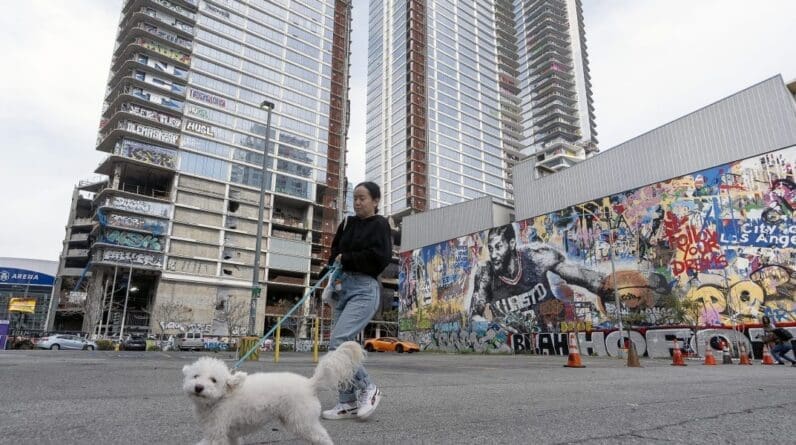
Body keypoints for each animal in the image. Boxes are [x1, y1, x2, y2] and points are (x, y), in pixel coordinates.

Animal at [183, 342, 364, 442]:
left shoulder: (216, 433)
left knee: (323, 437)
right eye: (195, 376)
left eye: (213, 380)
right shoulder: (231, 435)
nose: (198, 387)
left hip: (302, 422)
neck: (221, 398)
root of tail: (309, 384)